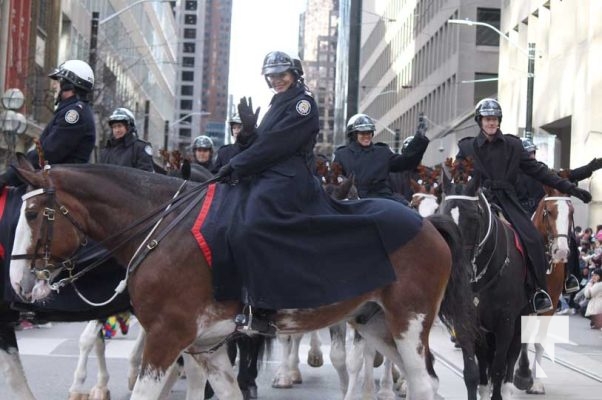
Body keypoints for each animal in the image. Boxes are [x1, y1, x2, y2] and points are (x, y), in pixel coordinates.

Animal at [8, 157, 460, 400]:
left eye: (31, 213)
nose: (17, 284)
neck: (162, 229)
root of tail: (428, 226)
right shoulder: (204, 345)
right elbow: (226, 391)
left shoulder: (166, 337)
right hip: (376, 324)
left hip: (408, 324)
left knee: (421, 385)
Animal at [438, 163, 528, 400]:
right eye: (442, 215)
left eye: (474, 217)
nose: (458, 269)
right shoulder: (465, 321)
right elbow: (472, 372)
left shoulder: (506, 322)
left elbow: (498, 368)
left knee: (511, 356)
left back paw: (510, 387)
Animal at [510, 184, 572, 394]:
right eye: (549, 212)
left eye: (571, 213)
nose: (561, 252)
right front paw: (522, 375)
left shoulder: (548, 305)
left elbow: (538, 341)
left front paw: (535, 382)